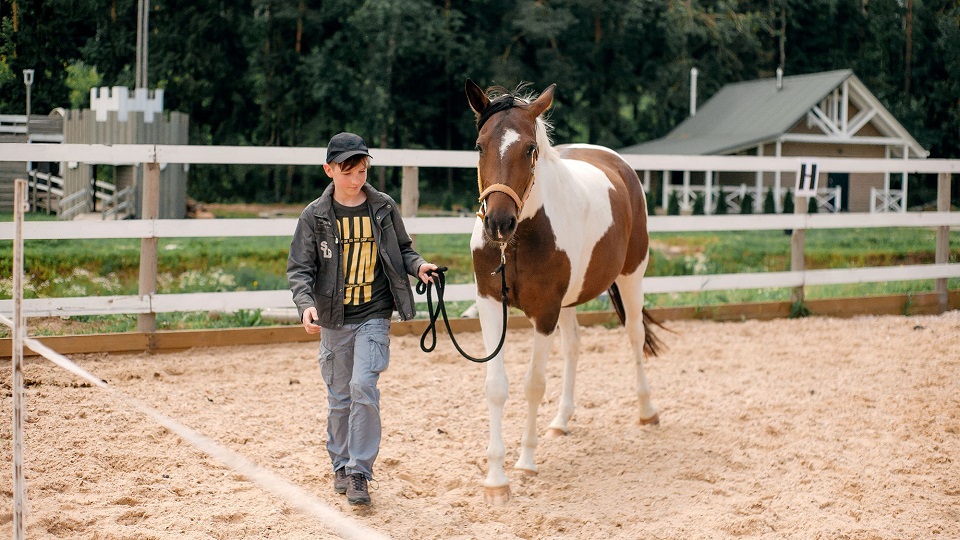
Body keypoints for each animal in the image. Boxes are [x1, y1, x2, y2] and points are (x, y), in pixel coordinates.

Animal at [466, 78, 664, 504]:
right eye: (479, 145)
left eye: (530, 148)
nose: (498, 223)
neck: (520, 239)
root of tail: (618, 165)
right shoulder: (490, 304)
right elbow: (496, 387)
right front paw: (495, 479)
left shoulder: (544, 312)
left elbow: (533, 384)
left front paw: (525, 461)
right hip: (570, 301)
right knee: (574, 346)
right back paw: (561, 420)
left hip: (632, 276)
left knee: (635, 336)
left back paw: (647, 412)